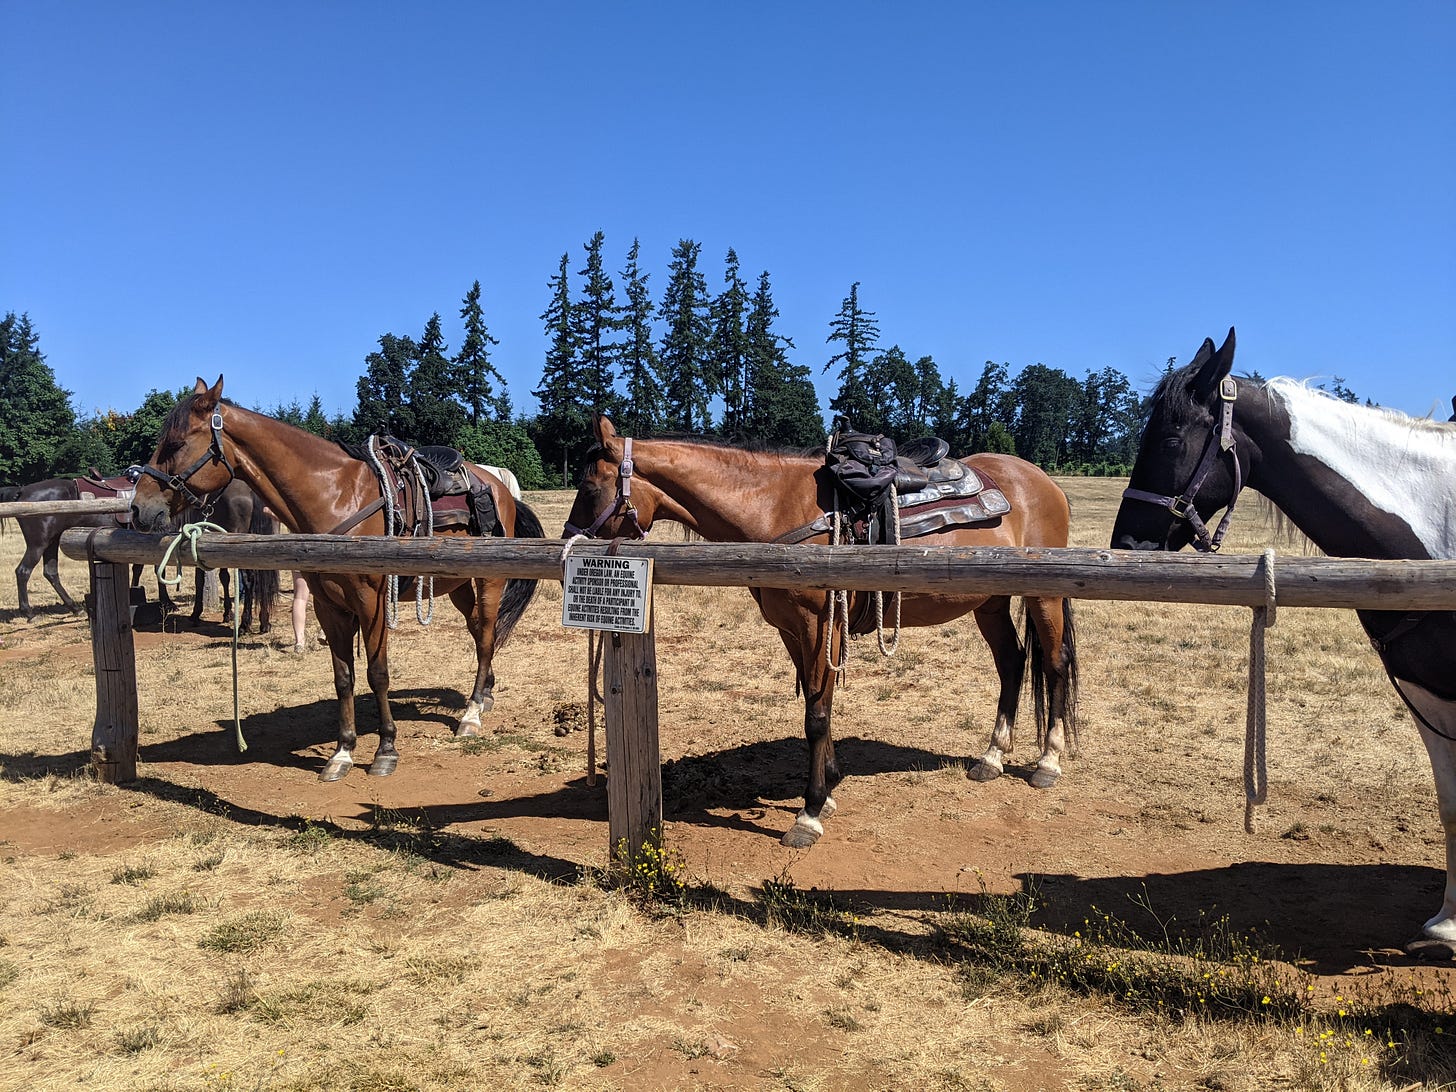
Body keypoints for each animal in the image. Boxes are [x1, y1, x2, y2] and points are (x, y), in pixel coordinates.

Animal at [130, 376, 543, 781]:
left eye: (176, 443)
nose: (137, 508)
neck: (335, 496)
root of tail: (500, 488)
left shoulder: (372, 605)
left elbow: (377, 673)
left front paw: (385, 749)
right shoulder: (329, 607)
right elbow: (343, 677)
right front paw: (342, 752)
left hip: (488, 581)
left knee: (487, 636)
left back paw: (471, 714)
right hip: (457, 583)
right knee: (476, 630)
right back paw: (485, 694)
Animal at [564, 414, 1080, 848]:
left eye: (589, 486)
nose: (568, 538)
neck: (774, 506)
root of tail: (1042, 482)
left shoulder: (819, 626)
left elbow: (816, 714)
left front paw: (808, 814)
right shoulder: (794, 631)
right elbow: (819, 706)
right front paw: (828, 787)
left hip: (1043, 597)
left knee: (1055, 663)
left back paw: (1048, 762)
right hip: (990, 601)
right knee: (1012, 663)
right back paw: (991, 757)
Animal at [1110, 327, 1456, 957]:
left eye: (1170, 436)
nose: (1126, 543)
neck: (1438, 533)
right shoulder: (1428, 693)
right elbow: (1451, 804)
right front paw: (1446, 925)